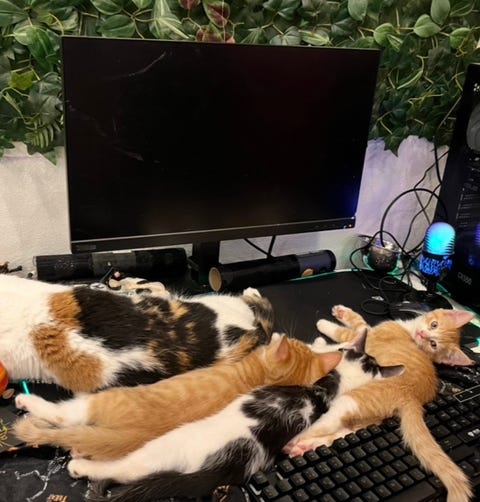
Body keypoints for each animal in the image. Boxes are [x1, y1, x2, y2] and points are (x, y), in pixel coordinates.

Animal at [13, 332, 343, 461]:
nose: (276, 336)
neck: (255, 376)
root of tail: (131, 436)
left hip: (99, 399)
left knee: (63, 414)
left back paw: (29, 402)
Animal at [283, 305, 476, 502]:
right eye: (434, 325)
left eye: (433, 344)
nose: (423, 334)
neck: (409, 333)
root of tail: (413, 398)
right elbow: (356, 326)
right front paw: (340, 314)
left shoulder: (363, 339)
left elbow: (346, 335)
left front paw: (319, 337)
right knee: (343, 432)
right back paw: (305, 447)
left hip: (349, 401)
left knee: (324, 425)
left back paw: (294, 442)